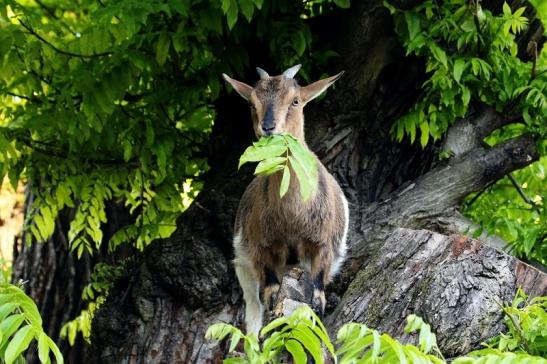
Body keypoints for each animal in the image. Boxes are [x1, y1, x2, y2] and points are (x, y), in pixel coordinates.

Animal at [224, 64, 348, 334]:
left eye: (295, 100)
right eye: (251, 103)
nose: (268, 127)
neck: (292, 217)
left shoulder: (323, 244)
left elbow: (318, 286)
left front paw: (319, 307)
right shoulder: (260, 246)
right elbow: (269, 290)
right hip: (242, 265)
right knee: (253, 310)